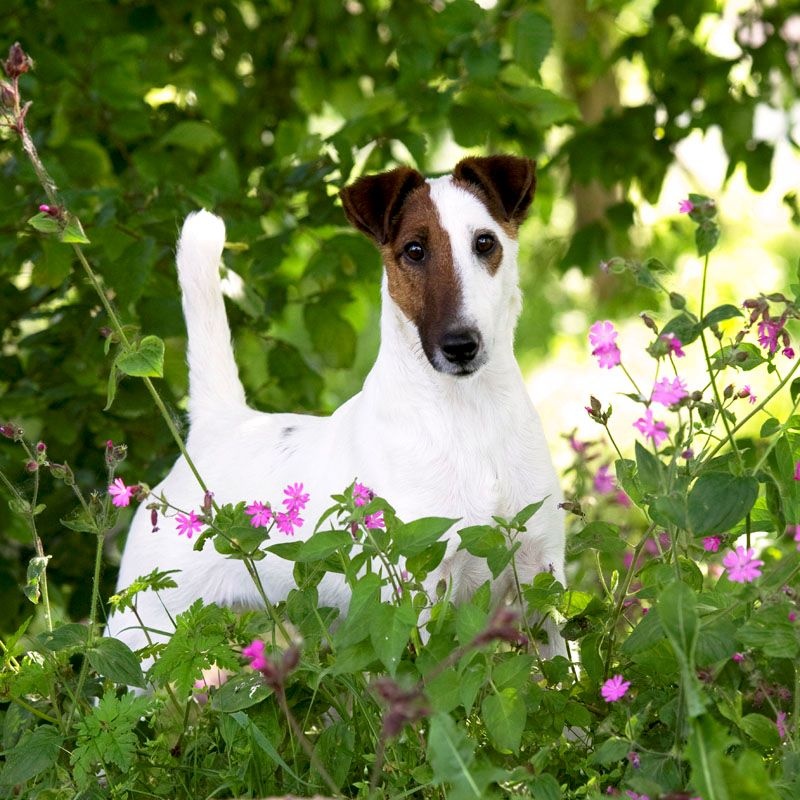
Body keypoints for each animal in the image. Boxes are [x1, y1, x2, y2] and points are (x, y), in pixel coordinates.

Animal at [106, 153, 564, 660]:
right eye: (414, 251)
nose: (460, 345)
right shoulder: (417, 587)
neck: (469, 417)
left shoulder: (542, 572)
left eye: (485, 242)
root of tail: (220, 426)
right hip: (144, 633)